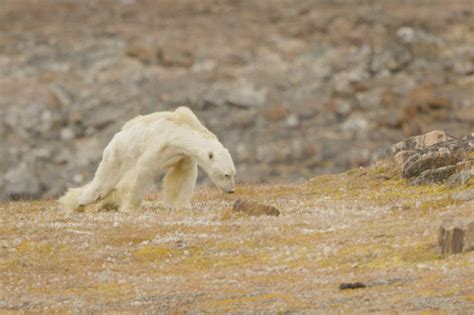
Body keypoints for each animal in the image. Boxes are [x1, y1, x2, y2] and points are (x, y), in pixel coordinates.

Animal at [58, 107, 236, 214]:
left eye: (233, 173)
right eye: (226, 175)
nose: (231, 190)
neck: (179, 130)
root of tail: (116, 136)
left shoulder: (183, 154)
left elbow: (183, 175)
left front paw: (180, 205)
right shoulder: (159, 144)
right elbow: (144, 170)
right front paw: (130, 207)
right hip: (118, 154)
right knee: (103, 182)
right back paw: (78, 202)